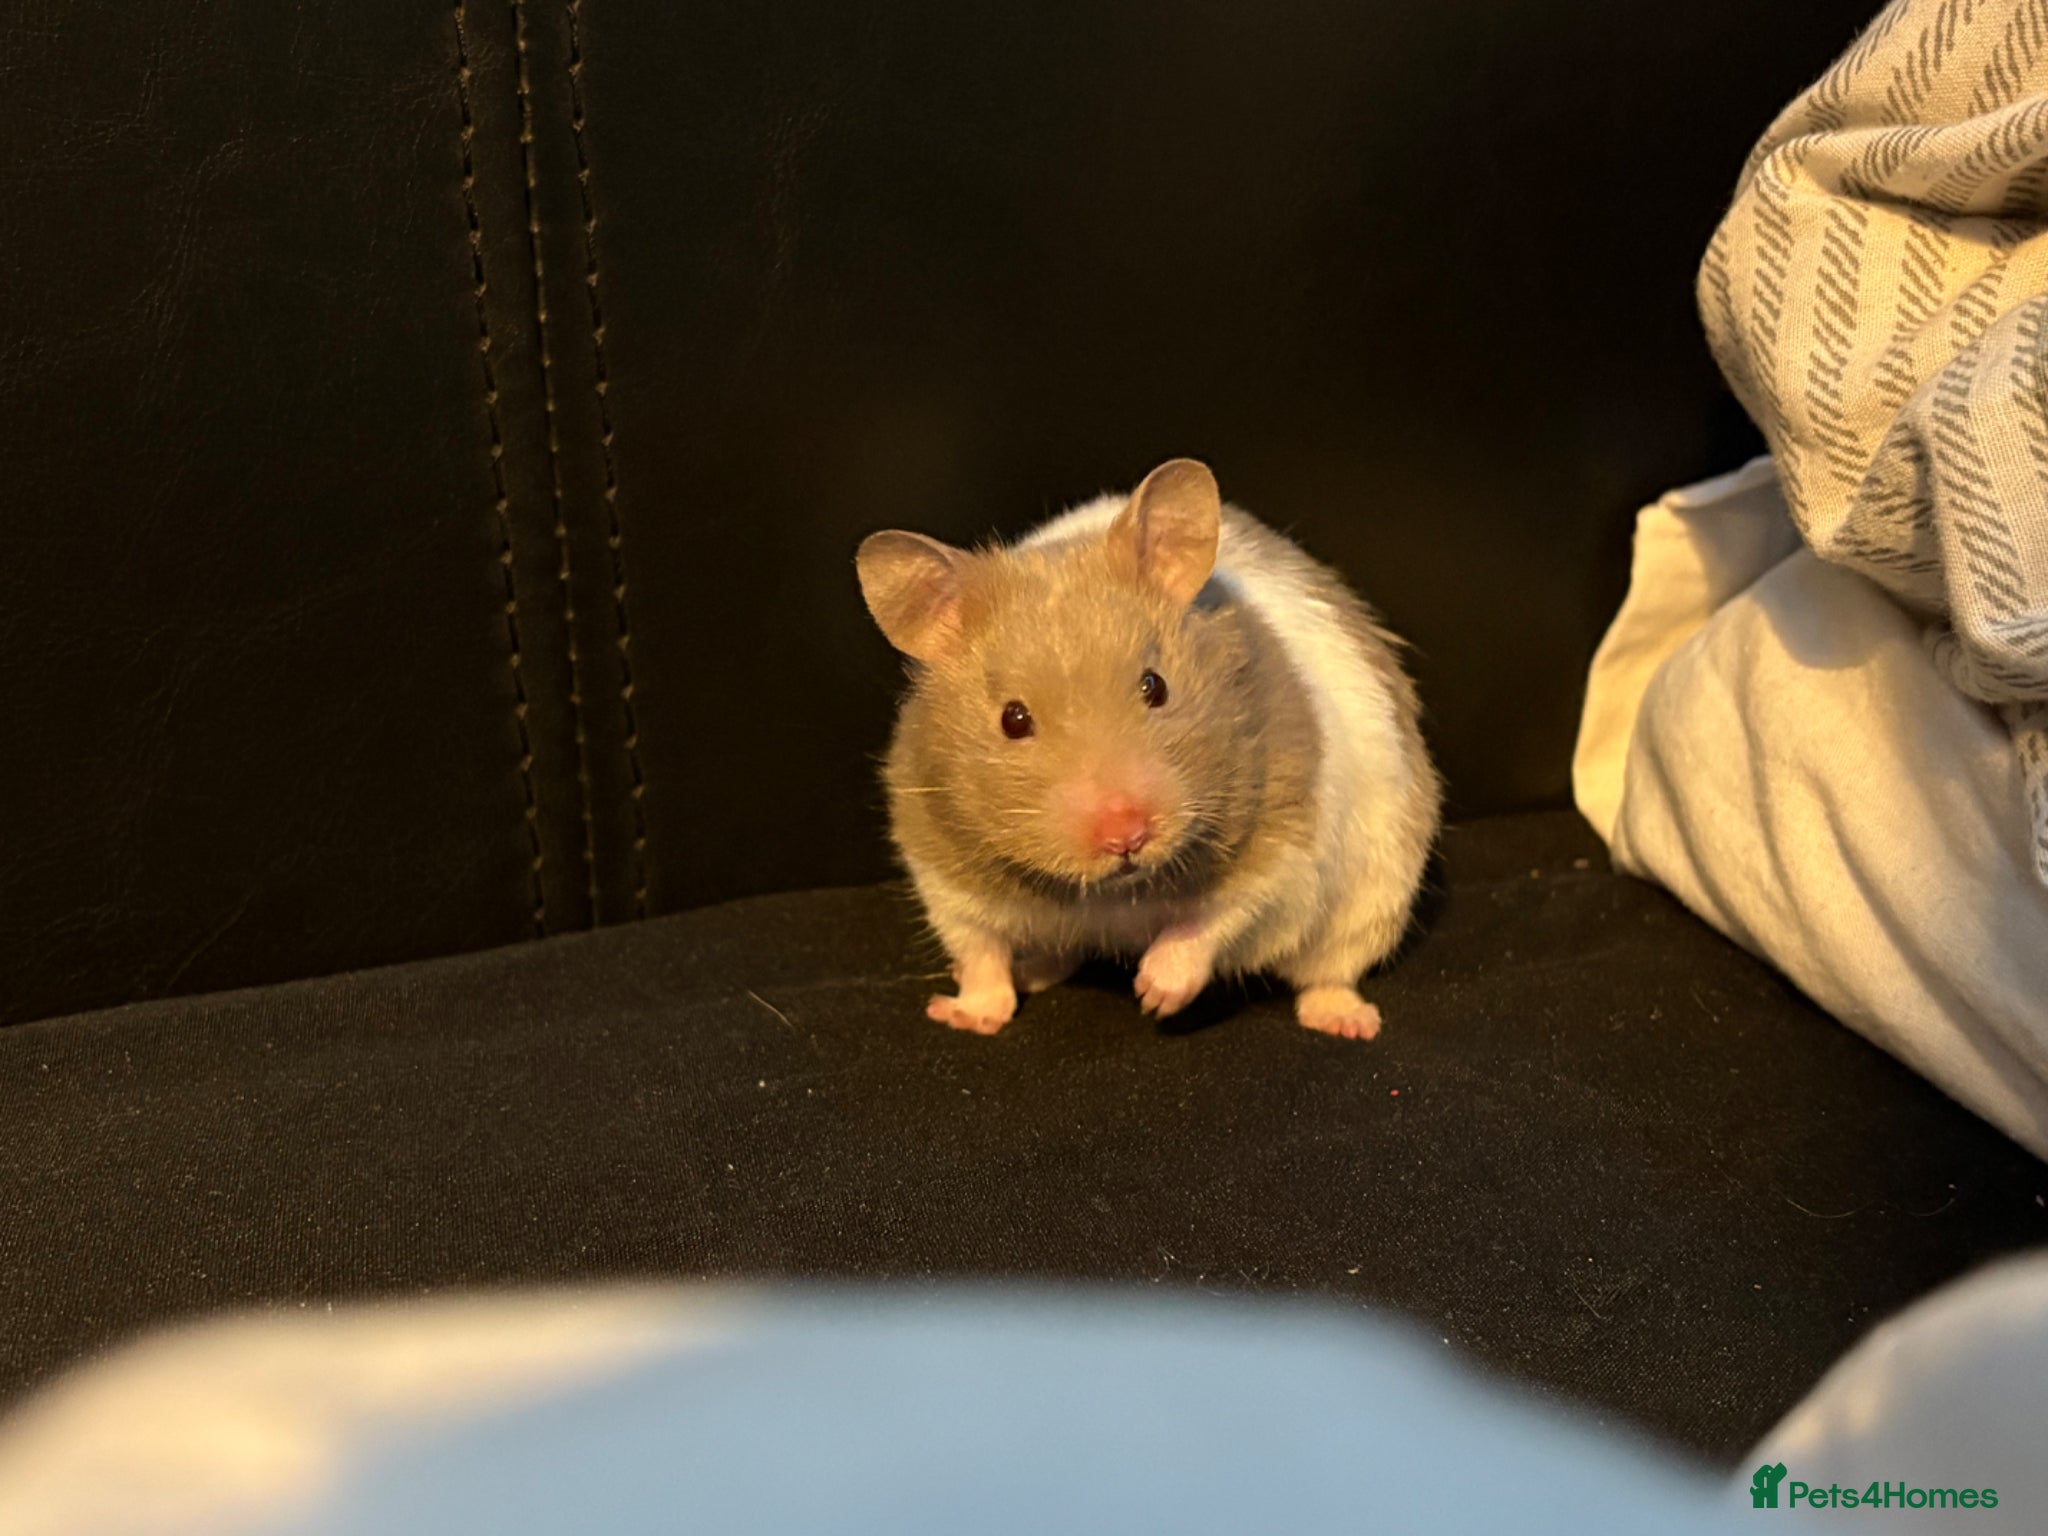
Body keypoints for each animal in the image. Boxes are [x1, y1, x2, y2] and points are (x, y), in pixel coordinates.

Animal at [855, 458, 1441, 1040]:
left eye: (1155, 686)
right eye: (1013, 719)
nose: (1126, 836)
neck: (1113, 895)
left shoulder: (1288, 840)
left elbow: (1222, 914)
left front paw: (1153, 994)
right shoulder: (940, 868)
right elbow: (978, 950)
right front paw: (968, 1016)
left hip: (1376, 899)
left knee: (1330, 971)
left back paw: (1347, 1022)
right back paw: (1032, 972)